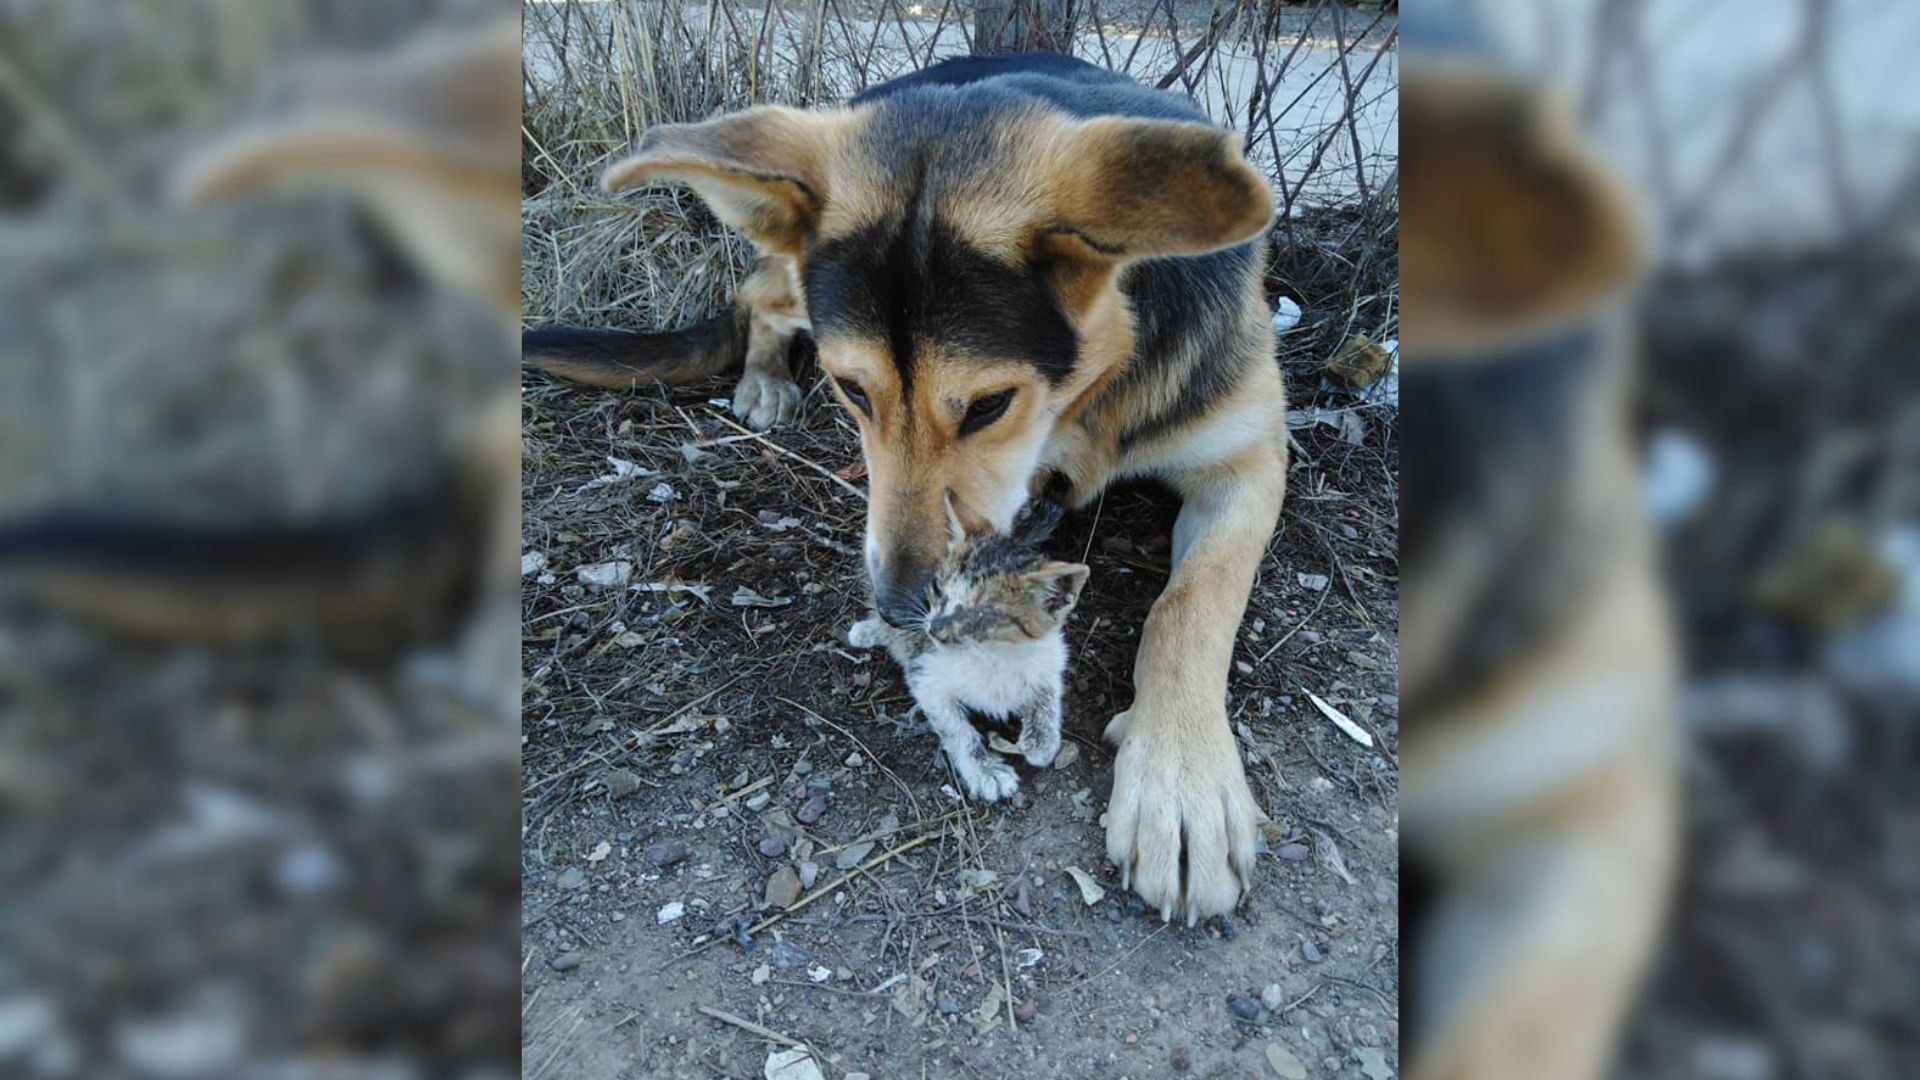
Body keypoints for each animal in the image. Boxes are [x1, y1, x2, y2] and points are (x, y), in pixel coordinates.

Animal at [848, 503, 1090, 799]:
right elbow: (958, 731)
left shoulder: (1049, 659)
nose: (935, 629)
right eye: (937, 587)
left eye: (983, 611)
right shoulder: (925, 675)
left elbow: (1047, 695)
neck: (993, 654)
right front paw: (984, 771)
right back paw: (868, 631)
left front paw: (1041, 741)